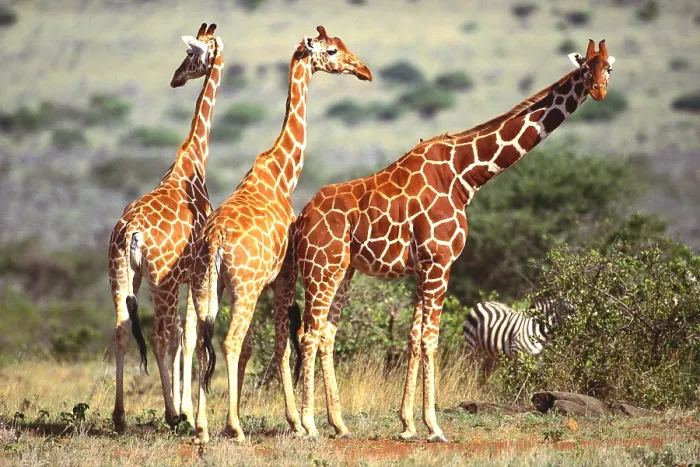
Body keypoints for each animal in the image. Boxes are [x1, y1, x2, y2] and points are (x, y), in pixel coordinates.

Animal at [108, 23, 224, 433]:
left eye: (190, 56)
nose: (175, 78)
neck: (194, 160)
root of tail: (130, 233)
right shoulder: (191, 274)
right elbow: (185, 336)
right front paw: (186, 408)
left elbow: (180, 336)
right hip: (162, 281)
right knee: (160, 336)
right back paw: (173, 415)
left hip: (122, 274)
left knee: (122, 329)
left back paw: (120, 417)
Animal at [186, 26, 372, 444]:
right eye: (332, 51)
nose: (363, 70)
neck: (282, 173)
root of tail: (215, 241)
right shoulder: (283, 276)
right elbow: (282, 344)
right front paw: (296, 422)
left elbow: (260, 347)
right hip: (245, 286)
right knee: (230, 341)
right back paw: (235, 428)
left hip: (207, 284)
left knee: (204, 343)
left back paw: (202, 428)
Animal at [278, 39, 616, 442]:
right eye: (585, 68)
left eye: (608, 68)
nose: (599, 91)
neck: (464, 176)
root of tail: (300, 221)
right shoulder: (440, 261)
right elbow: (430, 338)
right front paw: (434, 426)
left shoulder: (424, 266)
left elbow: (413, 337)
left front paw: (407, 424)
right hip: (321, 267)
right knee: (308, 333)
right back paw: (308, 425)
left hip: (343, 271)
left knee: (326, 334)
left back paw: (339, 425)